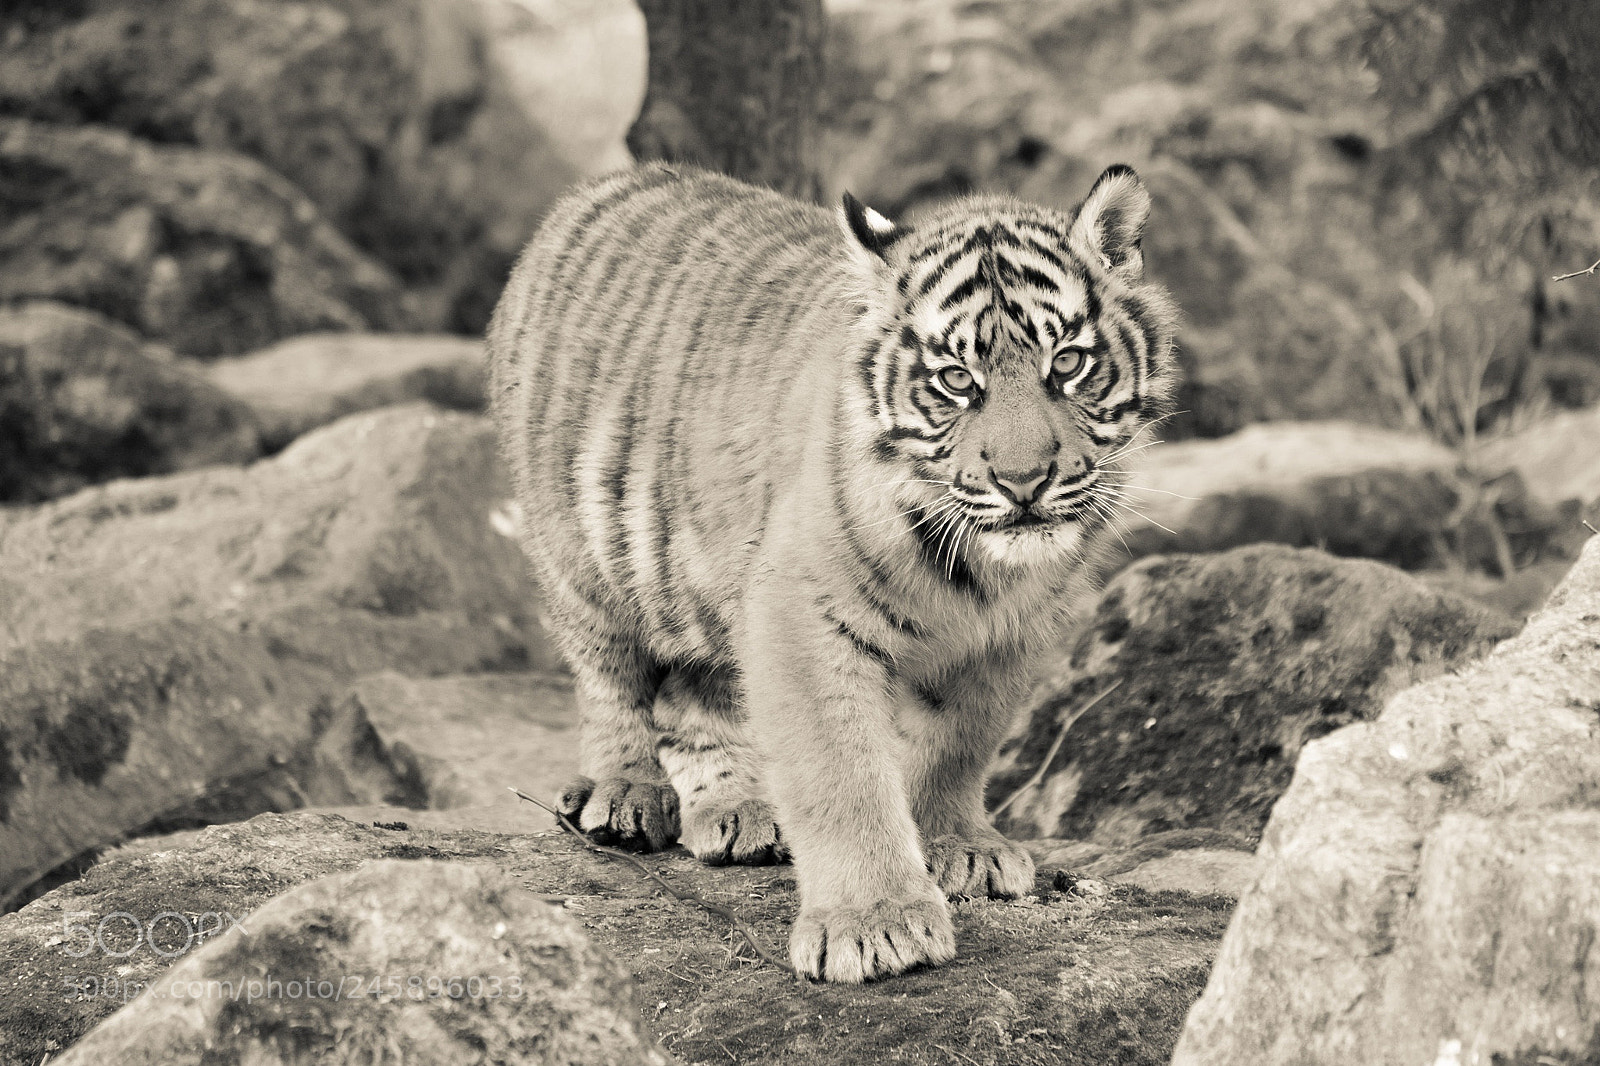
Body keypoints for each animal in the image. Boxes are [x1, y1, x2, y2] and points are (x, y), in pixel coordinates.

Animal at [487, 161, 1178, 983]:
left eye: (1067, 364)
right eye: (955, 380)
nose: (1023, 480)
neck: (983, 577)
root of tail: (599, 187)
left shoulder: (1016, 634)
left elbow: (961, 742)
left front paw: (959, 848)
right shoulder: (801, 608)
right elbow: (838, 771)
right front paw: (873, 924)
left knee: (694, 693)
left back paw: (741, 812)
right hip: (585, 557)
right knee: (612, 682)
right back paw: (626, 796)